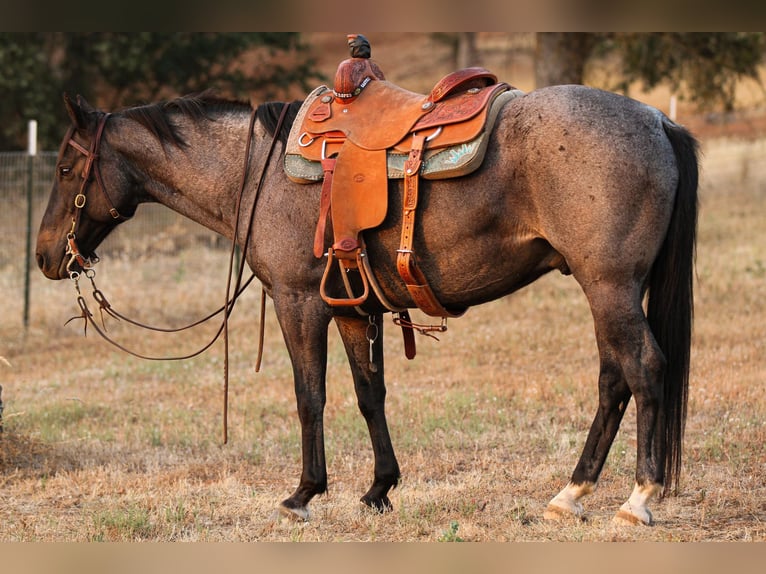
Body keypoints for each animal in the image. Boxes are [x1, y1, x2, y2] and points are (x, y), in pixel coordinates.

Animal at [36, 84, 698, 526]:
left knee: (643, 370)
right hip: (611, 290)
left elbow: (310, 396)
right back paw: (571, 493)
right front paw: (380, 488)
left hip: (609, 285)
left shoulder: (300, 302)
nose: (45, 256)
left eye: (66, 165)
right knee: (614, 379)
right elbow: (368, 394)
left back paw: (638, 498)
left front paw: (304, 493)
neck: (259, 173)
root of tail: (656, 119)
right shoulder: (356, 309)